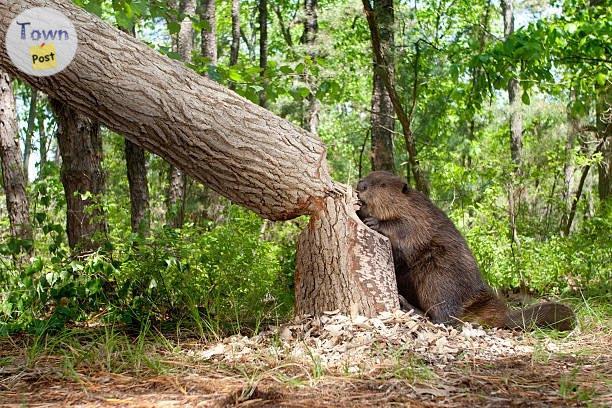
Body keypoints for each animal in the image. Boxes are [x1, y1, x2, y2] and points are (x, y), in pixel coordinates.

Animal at [356, 171, 576, 330]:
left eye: (382, 184)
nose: (360, 185)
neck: (409, 204)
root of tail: (502, 316)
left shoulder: (419, 217)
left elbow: (405, 230)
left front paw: (373, 221)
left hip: (438, 276)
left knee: (445, 318)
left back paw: (409, 307)